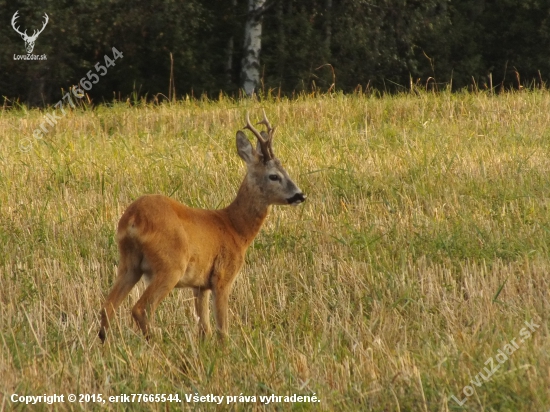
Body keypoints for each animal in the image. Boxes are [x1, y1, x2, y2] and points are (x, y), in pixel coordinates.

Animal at [99, 111, 306, 342]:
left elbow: (204, 328)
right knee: (141, 308)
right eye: (274, 176)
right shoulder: (223, 275)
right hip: (170, 265)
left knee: (107, 306)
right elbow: (222, 328)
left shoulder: (200, 285)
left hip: (129, 263)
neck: (236, 228)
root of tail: (133, 219)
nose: (300, 195)